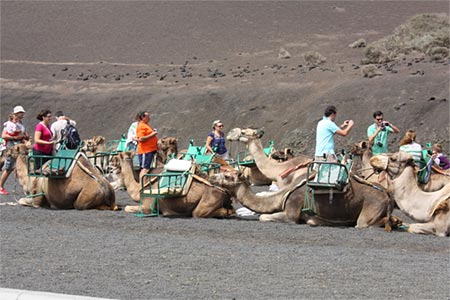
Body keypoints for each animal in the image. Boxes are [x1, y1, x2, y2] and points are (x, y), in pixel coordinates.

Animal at [212, 169, 400, 230]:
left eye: (228, 175)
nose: (212, 177)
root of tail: (387, 195)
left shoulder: (292, 212)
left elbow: (263, 216)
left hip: (371, 208)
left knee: (364, 224)